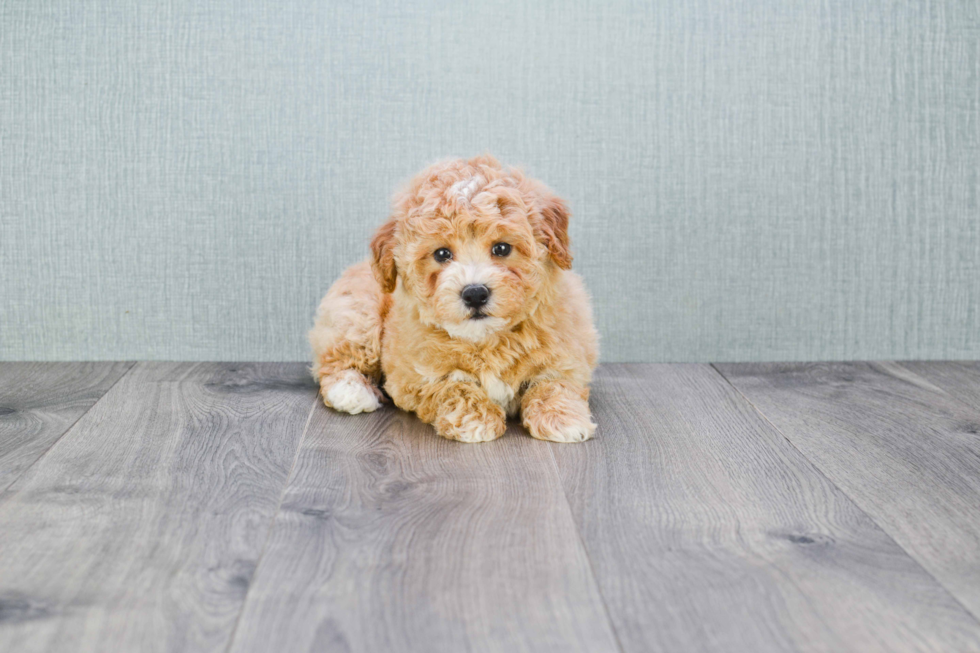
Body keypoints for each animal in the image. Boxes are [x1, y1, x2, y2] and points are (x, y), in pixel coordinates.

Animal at [310, 155, 596, 444]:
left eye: (502, 248)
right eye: (442, 254)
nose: (475, 293)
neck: (487, 340)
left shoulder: (568, 353)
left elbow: (554, 383)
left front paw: (562, 418)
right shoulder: (413, 376)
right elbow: (454, 387)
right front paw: (477, 421)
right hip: (358, 311)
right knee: (338, 357)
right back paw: (351, 390)